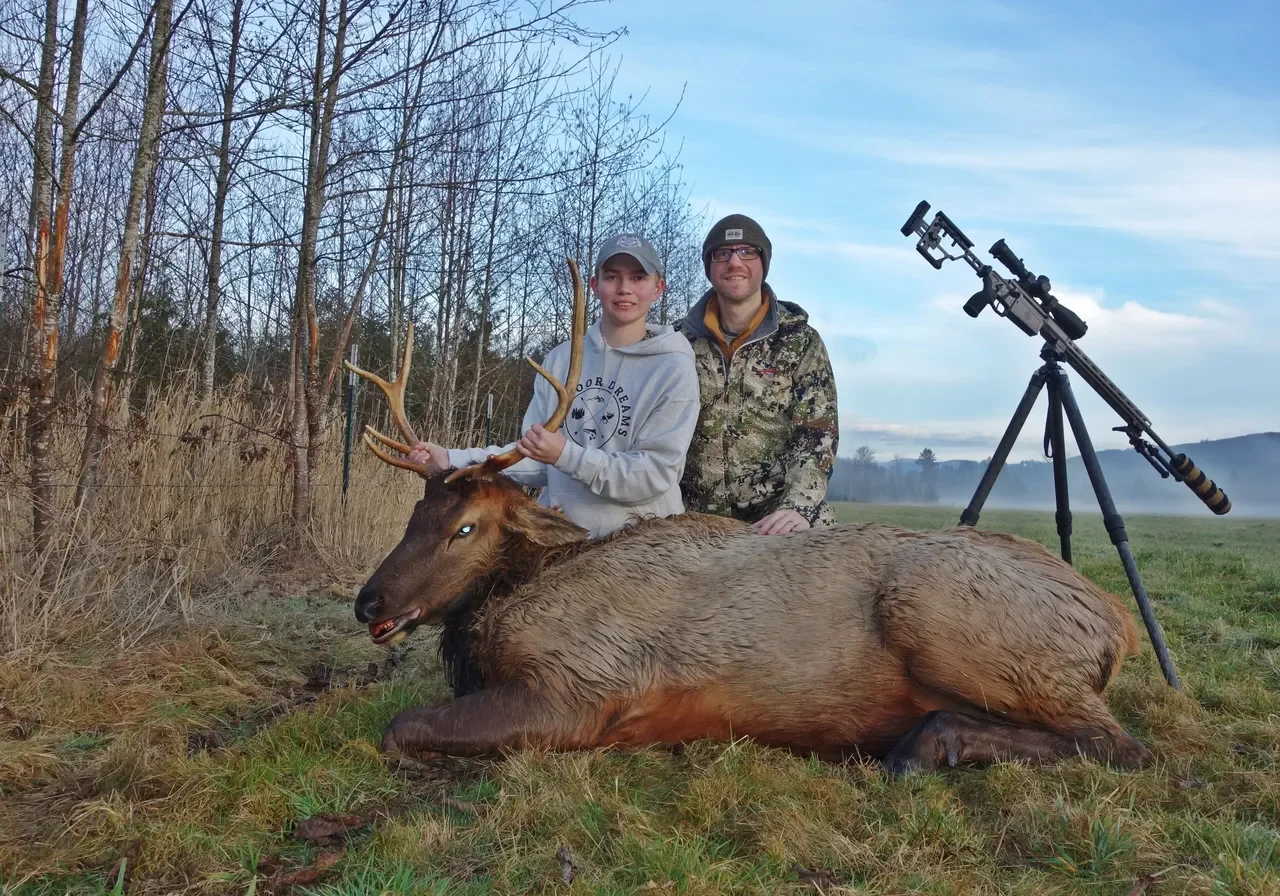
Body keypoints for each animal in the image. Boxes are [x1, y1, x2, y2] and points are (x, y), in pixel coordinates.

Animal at [345, 259, 1154, 775]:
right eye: (416, 512)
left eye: (467, 527)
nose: (368, 602)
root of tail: (1116, 625)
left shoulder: (582, 685)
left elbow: (398, 728)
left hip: (948, 620)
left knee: (1121, 743)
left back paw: (925, 746)